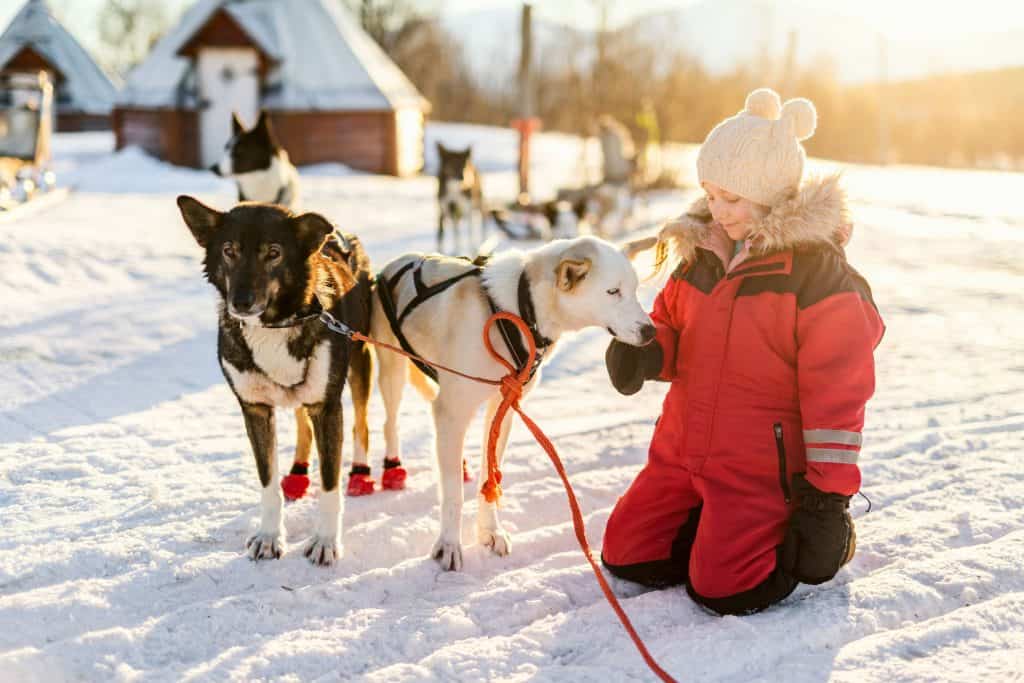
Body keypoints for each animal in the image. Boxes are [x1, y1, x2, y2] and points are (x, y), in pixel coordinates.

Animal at [178, 196, 374, 565]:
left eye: (273, 252)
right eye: (229, 250)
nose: (240, 302)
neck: (273, 326)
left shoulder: (327, 408)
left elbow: (330, 484)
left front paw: (325, 541)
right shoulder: (255, 409)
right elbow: (267, 480)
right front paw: (269, 536)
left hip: (362, 364)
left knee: (363, 426)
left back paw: (361, 473)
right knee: (302, 426)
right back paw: (297, 474)